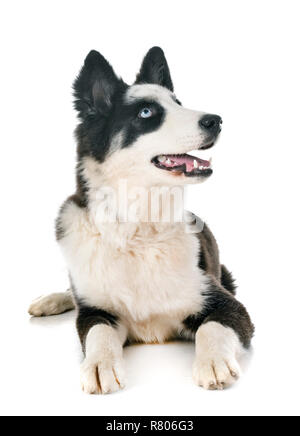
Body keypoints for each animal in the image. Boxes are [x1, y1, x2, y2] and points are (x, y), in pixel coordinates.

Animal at [28, 48, 253, 396]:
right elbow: (98, 333)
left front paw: (213, 361)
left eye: (178, 103)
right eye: (146, 113)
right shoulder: (95, 311)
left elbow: (212, 327)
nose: (215, 120)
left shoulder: (226, 303)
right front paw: (99, 364)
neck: (139, 229)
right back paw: (51, 300)